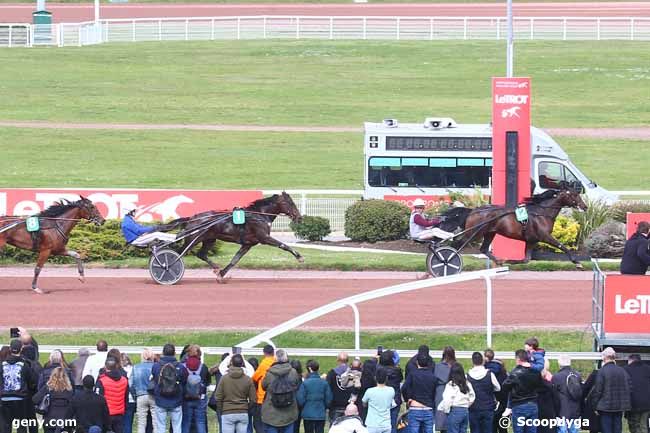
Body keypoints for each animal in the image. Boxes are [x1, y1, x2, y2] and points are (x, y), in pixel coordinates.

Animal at [440, 188, 588, 266]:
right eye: (574, 195)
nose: (585, 207)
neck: (541, 213)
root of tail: (473, 210)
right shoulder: (545, 236)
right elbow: (562, 246)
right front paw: (577, 261)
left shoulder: (531, 240)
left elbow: (525, 260)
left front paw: (509, 260)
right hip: (474, 233)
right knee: (456, 245)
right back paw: (446, 260)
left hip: (489, 232)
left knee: (483, 249)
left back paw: (499, 261)